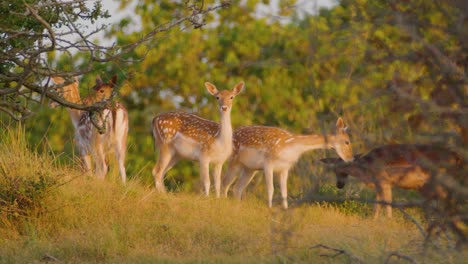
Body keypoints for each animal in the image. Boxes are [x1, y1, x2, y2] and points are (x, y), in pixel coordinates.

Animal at [221, 117, 352, 208]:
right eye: (347, 142)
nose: (350, 159)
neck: (291, 146)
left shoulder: (285, 168)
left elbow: (284, 193)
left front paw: (285, 209)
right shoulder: (268, 163)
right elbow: (271, 189)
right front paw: (269, 208)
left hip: (250, 169)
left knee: (237, 188)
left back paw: (237, 206)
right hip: (234, 160)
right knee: (225, 183)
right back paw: (223, 202)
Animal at [320, 144, 462, 219]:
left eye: (343, 169)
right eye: (334, 170)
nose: (339, 185)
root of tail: (456, 156)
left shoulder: (384, 181)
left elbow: (387, 202)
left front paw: (389, 221)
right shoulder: (379, 184)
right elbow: (377, 205)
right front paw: (373, 221)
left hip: (438, 180)